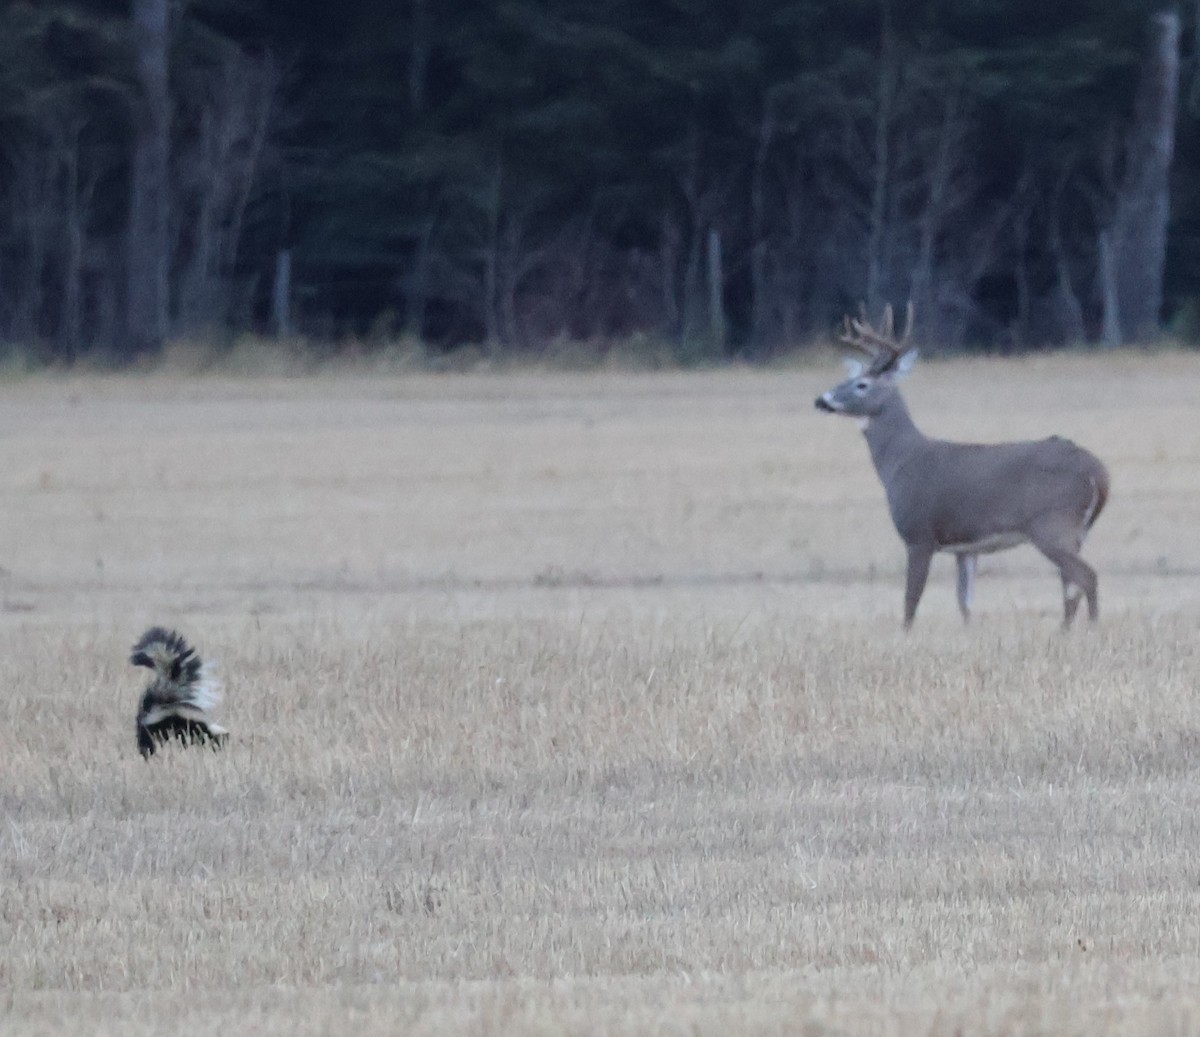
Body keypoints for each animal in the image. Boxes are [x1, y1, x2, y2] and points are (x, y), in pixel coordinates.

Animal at [814, 303, 1109, 629]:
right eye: (847, 379)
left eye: (861, 384)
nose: (821, 400)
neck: (901, 461)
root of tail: (1099, 473)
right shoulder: (966, 548)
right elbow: (964, 602)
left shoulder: (919, 533)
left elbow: (910, 601)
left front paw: (905, 635)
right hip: (1076, 532)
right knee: (1070, 584)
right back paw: (1066, 631)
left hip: (1052, 524)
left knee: (1085, 577)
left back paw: (1090, 629)